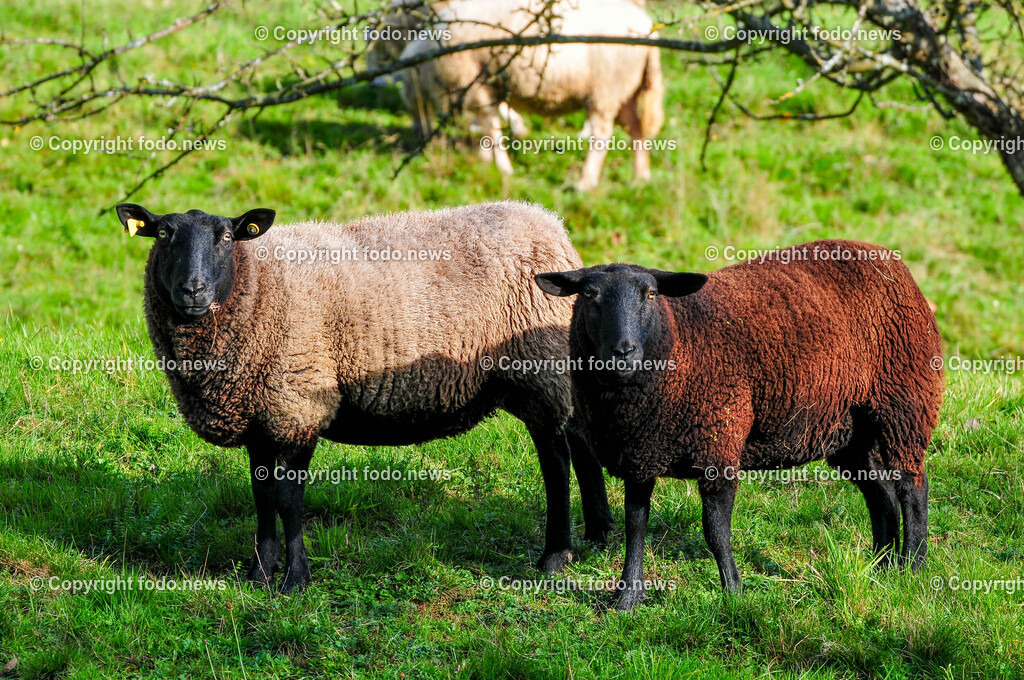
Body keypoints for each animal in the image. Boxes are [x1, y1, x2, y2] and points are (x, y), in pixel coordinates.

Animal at [115, 201, 614, 591]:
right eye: (164, 233)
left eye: (224, 236)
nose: (192, 290)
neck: (259, 283)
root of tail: (550, 225)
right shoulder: (261, 413)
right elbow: (261, 496)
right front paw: (259, 573)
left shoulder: (299, 404)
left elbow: (288, 498)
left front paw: (295, 580)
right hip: (554, 371)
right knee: (580, 439)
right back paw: (598, 534)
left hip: (539, 370)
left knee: (556, 459)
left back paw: (555, 556)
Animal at [399, 0, 664, 190]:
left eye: (409, 97)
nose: (417, 135)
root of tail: (649, 31)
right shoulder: (487, 86)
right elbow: (489, 125)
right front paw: (486, 160)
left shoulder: (475, 84)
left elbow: (491, 127)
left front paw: (503, 169)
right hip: (625, 90)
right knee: (637, 129)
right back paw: (640, 178)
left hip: (607, 88)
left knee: (602, 135)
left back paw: (585, 183)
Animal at [535, 240, 944, 610]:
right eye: (589, 294)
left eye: (651, 293)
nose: (623, 352)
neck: (681, 340)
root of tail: (887, 258)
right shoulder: (641, 453)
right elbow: (636, 526)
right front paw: (627, 599)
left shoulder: (719, 445)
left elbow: (715, 530)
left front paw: (733, 592)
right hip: (849, 429)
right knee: (880, 493)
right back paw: (881, 567)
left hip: (905, 404)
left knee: (912, 488)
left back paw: (912, 568)